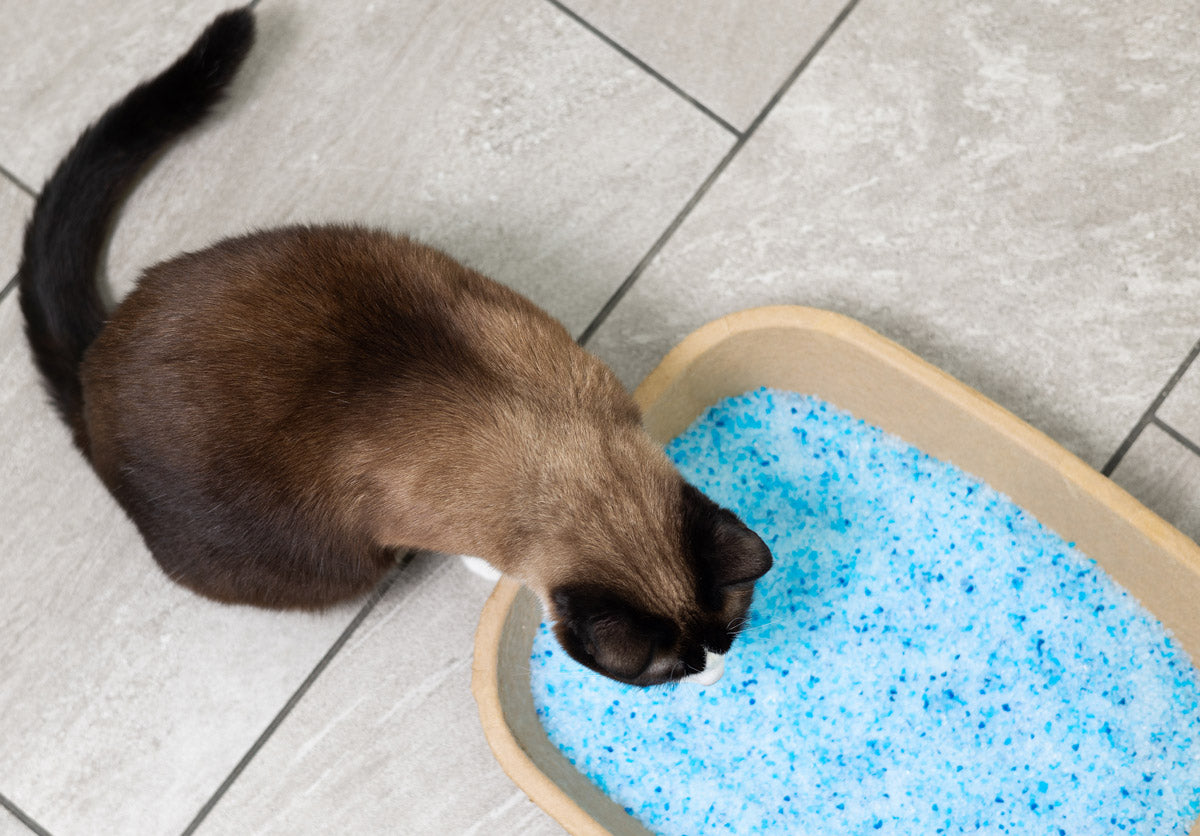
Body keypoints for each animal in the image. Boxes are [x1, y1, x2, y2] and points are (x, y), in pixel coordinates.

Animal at [18, 8, 768, 686]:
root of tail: (93, 366)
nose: (713, 676)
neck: (549, 438)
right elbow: (491, 562)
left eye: (728, 635)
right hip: (339, 562)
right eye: (667, 672)